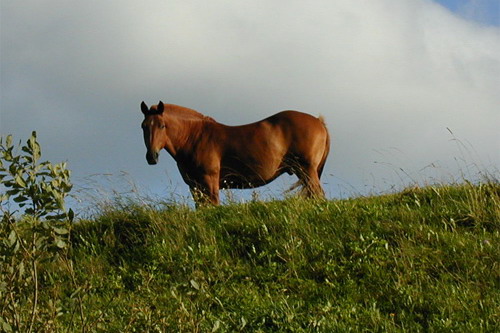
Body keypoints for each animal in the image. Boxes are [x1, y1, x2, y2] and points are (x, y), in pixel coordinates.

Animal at [139, 101, 330, 205]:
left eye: (162, 126)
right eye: (143, 126)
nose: (151, 157)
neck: (195, 137)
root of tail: (319, 121)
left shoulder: (210, 182)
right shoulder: (194, 186)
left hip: (307, 170)